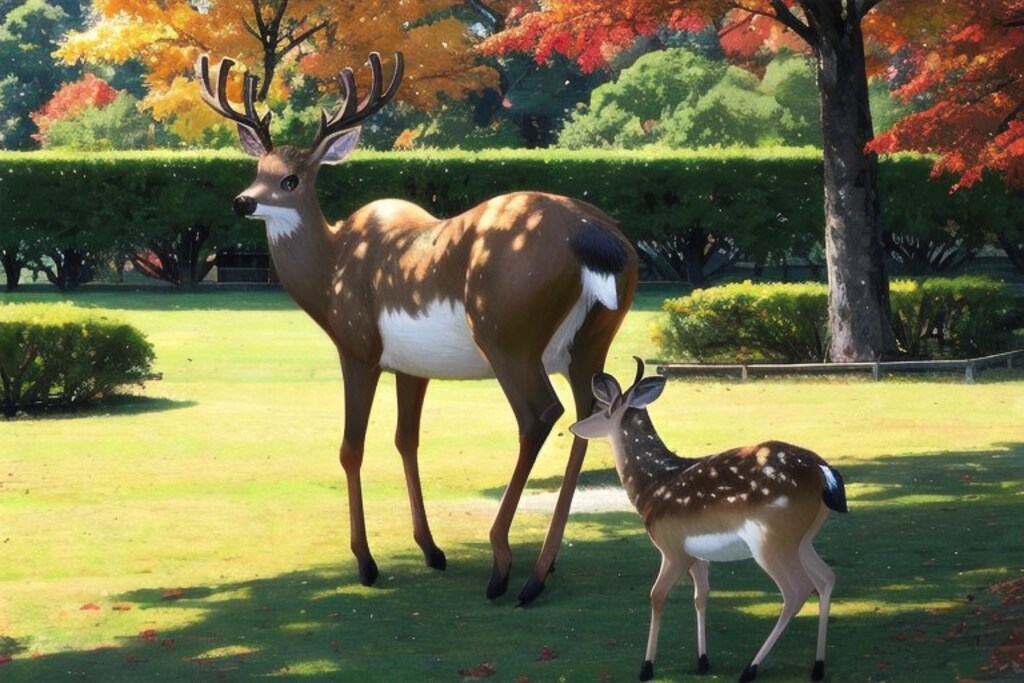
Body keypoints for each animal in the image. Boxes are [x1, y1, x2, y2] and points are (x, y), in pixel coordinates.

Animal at [195, 51, 638, 604]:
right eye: (258, 168)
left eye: (292, 179)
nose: (243, 201)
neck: (330, 272)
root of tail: (596, 238)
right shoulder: (412, 366)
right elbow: (407, 440)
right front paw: (431, 550)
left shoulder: (358, 347)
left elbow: (351, 448)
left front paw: (365, 562)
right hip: (592, 340)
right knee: (589, 413)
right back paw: (541, 571)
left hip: (508, 335)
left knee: (540, 415)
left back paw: (503, 566)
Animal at [570, 359, 847, 682]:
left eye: (603, 410)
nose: (573, 427)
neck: (651, 488)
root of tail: (823, 471)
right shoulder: (698, 555)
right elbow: (701, 596)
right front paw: (703, 661)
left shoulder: (672, 547)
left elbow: (656, 596)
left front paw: (646, 667)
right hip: (802, 538)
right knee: (826, 577)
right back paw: (817, 666)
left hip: (772, 537)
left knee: (797, 589)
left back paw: (750, 669)